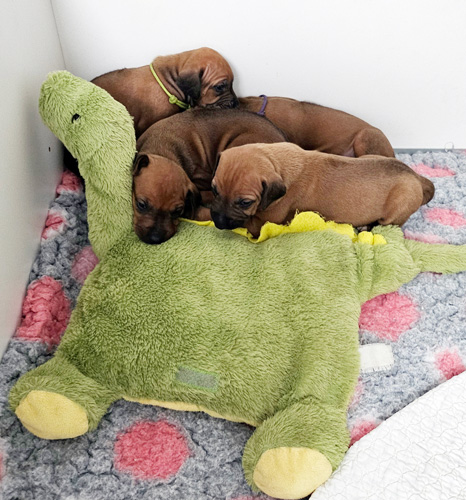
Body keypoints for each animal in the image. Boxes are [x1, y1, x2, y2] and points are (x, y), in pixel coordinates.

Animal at [210, 142, 434, 237]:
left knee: (387, 225)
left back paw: (365, 227)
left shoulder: (264, 221)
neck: (276, 160)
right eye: (214, 190)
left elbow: (249, 224)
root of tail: (416, 177)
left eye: (245, 202)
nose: (218, 222)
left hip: (398, 206)